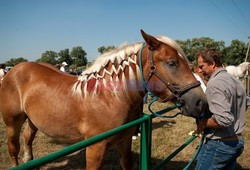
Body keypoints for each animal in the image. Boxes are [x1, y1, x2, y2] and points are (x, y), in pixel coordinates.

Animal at [0, 29, 207, 169]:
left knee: (28, 140)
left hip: (33, 121)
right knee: (14, 149)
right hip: (12, 123)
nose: (201, 103)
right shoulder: (95, 148)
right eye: (172, 63)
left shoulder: (124, 142)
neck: (109, 96)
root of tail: (16, 69)